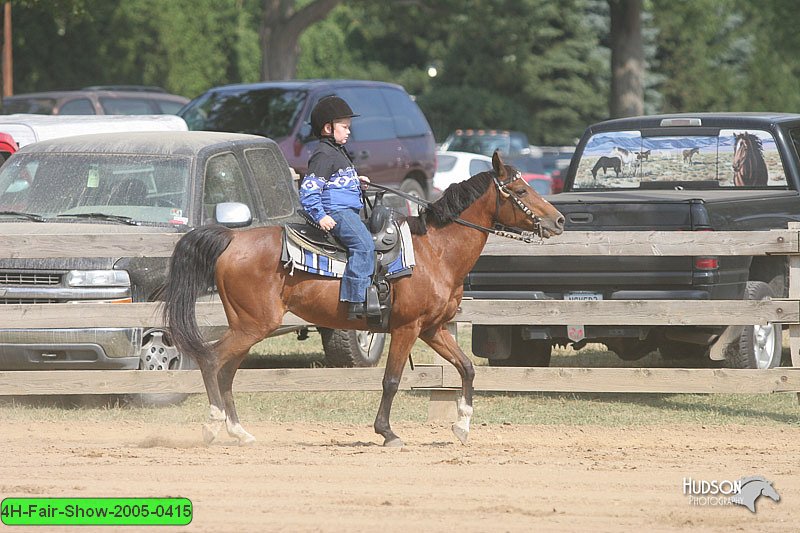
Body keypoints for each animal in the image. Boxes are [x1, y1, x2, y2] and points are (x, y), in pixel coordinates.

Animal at [161, 152, 564, 446]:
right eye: (521, 191)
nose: (559, 221)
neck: (435, 252)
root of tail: (232, 238)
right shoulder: (406, 328)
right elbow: (391, 380)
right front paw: (387, 432)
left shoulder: (433, 329)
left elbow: (466, 367)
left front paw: (462, 427)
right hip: (252, 324)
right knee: (213, 360)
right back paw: (214, 425)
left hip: (247, 326)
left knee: (226, 370)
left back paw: (239, 431)